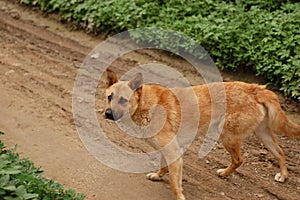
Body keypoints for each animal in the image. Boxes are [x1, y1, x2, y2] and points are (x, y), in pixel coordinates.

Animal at [103, 69, 300, 200]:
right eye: (109, 97)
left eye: (123, 100)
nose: (107, 114)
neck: (145, 105)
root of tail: (255, 88)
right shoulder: (169, 151)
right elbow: (163, 166)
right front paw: (158, 176)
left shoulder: (174, 153)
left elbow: (174, 183)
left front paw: (179, 196)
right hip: (263, 134)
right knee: (280, 153)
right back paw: (283, 175)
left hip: (227, 137)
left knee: (239, 160)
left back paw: (225, 172)